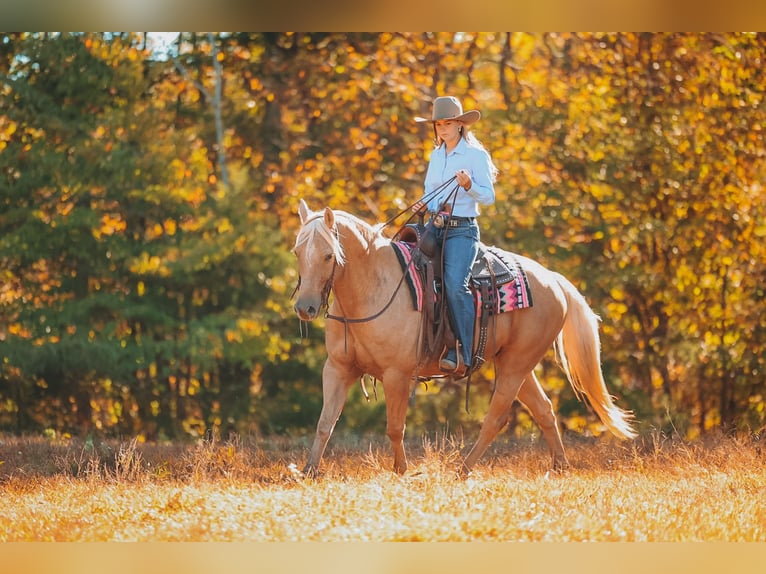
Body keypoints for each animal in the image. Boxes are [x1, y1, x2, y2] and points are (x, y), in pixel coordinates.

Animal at [292, 199, 636, 476]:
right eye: (297, 252)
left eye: (328, 255)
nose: (304, 307)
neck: (374, 286)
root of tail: (553, 279)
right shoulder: (338, 369)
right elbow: (325, 423)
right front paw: (309, 471)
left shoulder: (396, 374)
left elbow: (394, 428)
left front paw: (401, 472)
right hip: (516, 364)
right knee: (544, 410)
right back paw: (560, 467)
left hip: (516, 364)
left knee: (496, 418)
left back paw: (463, 469)